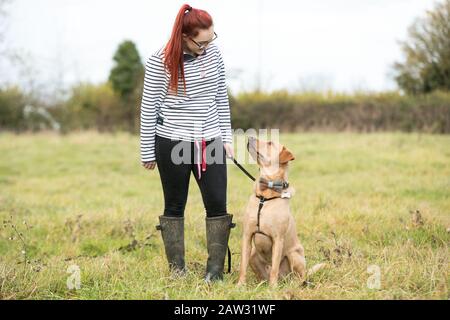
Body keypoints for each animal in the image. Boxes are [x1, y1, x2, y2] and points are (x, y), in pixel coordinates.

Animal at [237, 136, 308, 286]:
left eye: (270, 143)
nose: (250, 137)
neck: (265, 196)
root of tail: (284, 279)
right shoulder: (247, 236)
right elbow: (242, 266)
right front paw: (240, 285)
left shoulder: (278, 239)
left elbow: (275, 267)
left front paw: (273, 287)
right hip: (253, 256)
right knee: (264, 275)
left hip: (294, 255)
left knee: (299, 276)